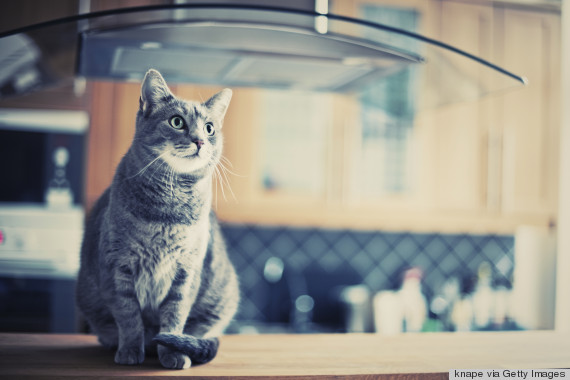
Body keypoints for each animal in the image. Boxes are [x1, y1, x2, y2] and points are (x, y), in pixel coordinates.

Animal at [75, 68, 237, 368]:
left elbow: (174, 319)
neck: (168, 211)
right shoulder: (118, 266)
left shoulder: (186, 272)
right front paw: (130, 351)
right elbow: (128, 318)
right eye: (177, 122)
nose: (200, 140)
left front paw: (172, 353)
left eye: (209, 128)